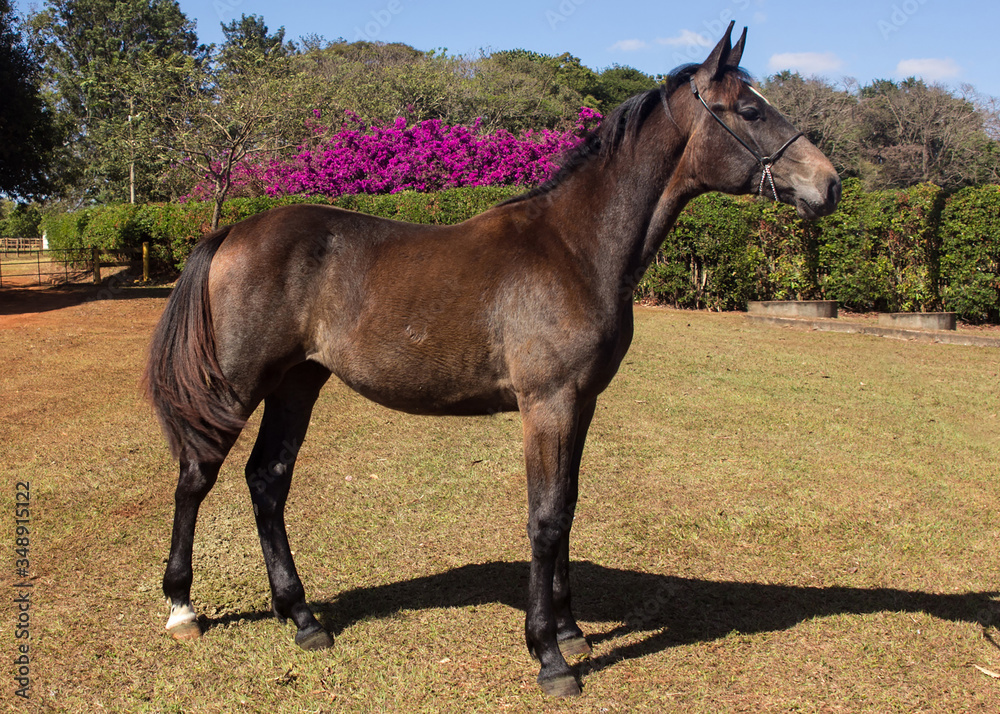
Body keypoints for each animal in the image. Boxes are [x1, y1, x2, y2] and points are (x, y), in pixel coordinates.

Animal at [145, 23, 840, 696]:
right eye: (749, 110)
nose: (829, 184)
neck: (574, 247)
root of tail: (231, 232)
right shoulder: (547, 404)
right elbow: (545, 518)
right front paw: (549, 657)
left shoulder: (581, 403)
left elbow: (568, 506)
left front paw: (572, 632)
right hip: (239, 385)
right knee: (197, 475)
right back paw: (181, 608)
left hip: (298, 382)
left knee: (268, 479)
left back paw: (303, 617)